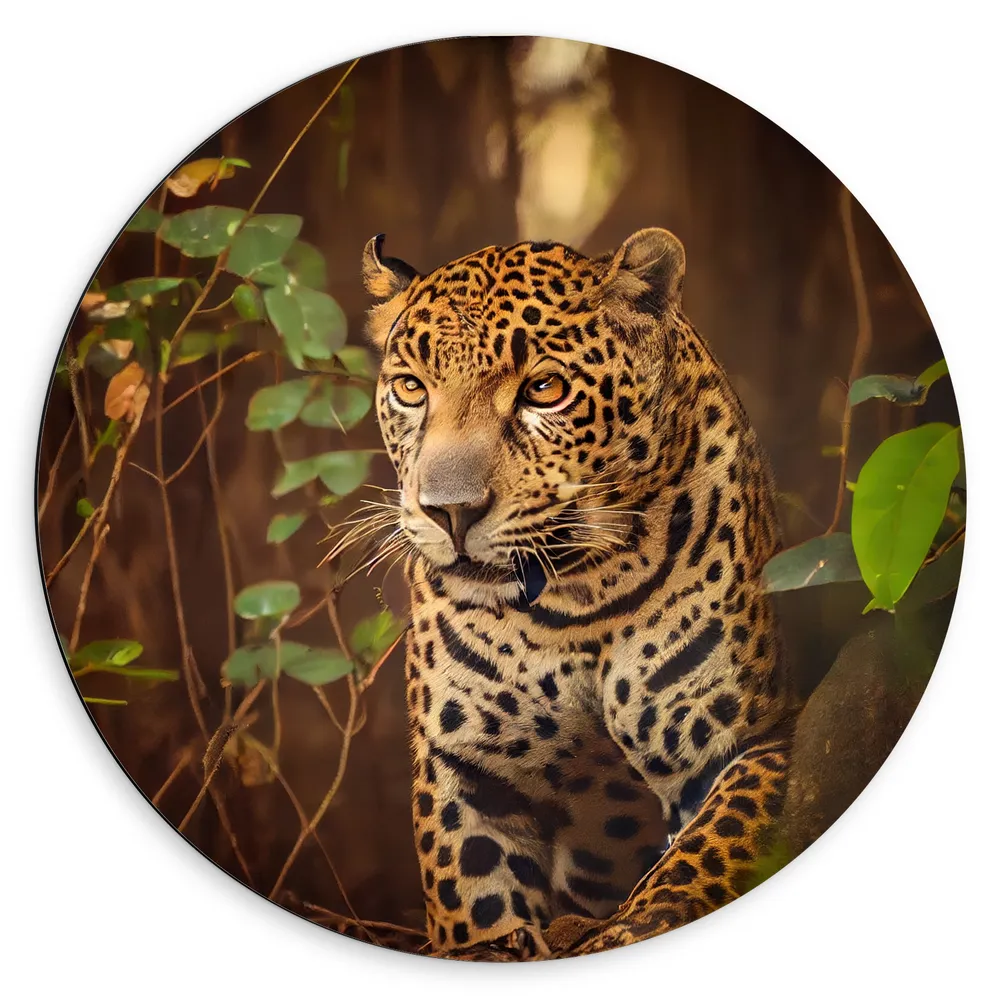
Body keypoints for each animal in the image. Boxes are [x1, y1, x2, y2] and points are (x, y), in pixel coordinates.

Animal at [359, 227, 793, 959]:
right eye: (412, 389)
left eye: (544, 389)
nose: (449, 512)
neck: (573, 603)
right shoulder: (468, 772)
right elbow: (475, 905)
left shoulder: (752, 742)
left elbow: (695, 863)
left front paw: (623, 931)